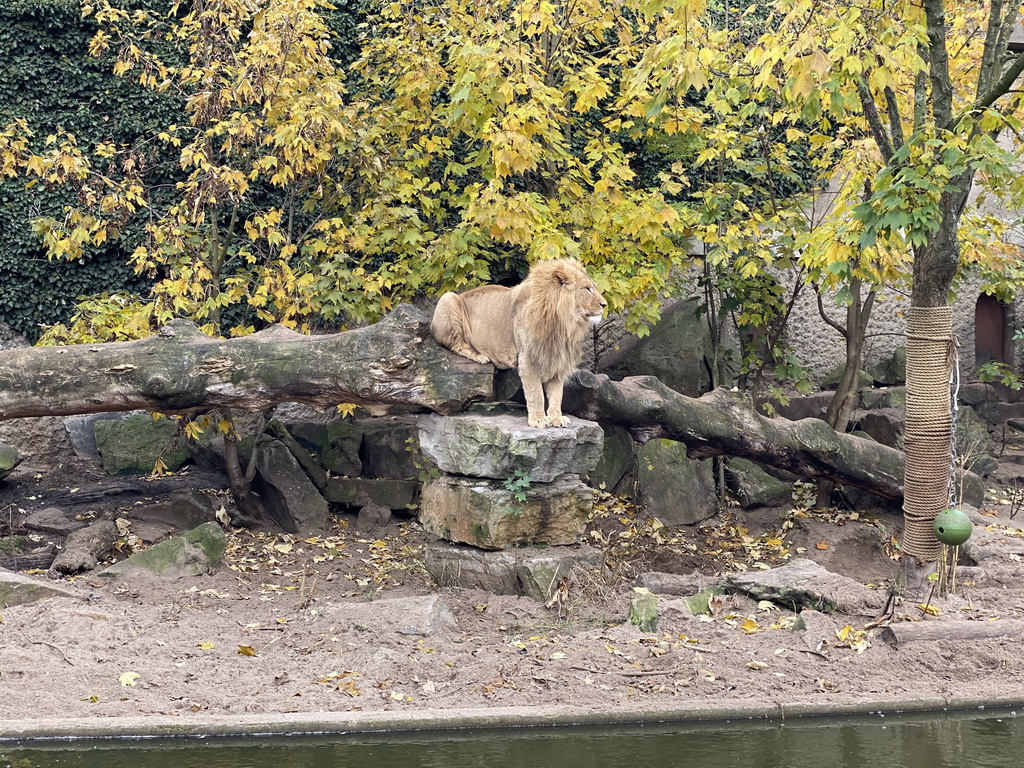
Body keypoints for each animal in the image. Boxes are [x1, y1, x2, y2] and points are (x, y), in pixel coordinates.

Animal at [428, 257, 602, 428]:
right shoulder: (529, 359)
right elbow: (536, 393)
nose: (604, 304)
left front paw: (556, 418)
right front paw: (538, 419)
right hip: (448, 298)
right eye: (587, 289)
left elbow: (557, 394)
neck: (563, 324)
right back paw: (480, 356)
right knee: (454, 344)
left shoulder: (555, 359)